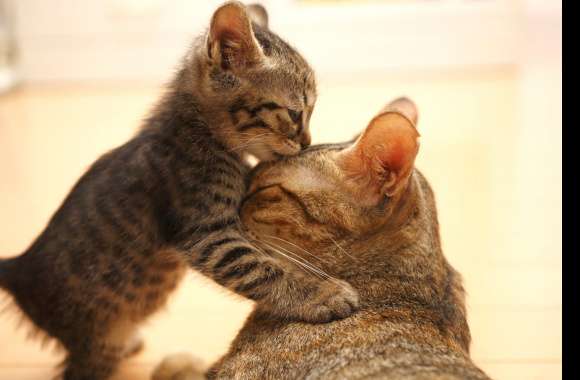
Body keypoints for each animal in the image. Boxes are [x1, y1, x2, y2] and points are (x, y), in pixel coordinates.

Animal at [0, 2, 358, 380]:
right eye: (294, 113)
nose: (306, 142)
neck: (201, 133)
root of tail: (19, 269)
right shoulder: (206, 234)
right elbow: (262, 269)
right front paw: (322, 294)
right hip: (96, 340)